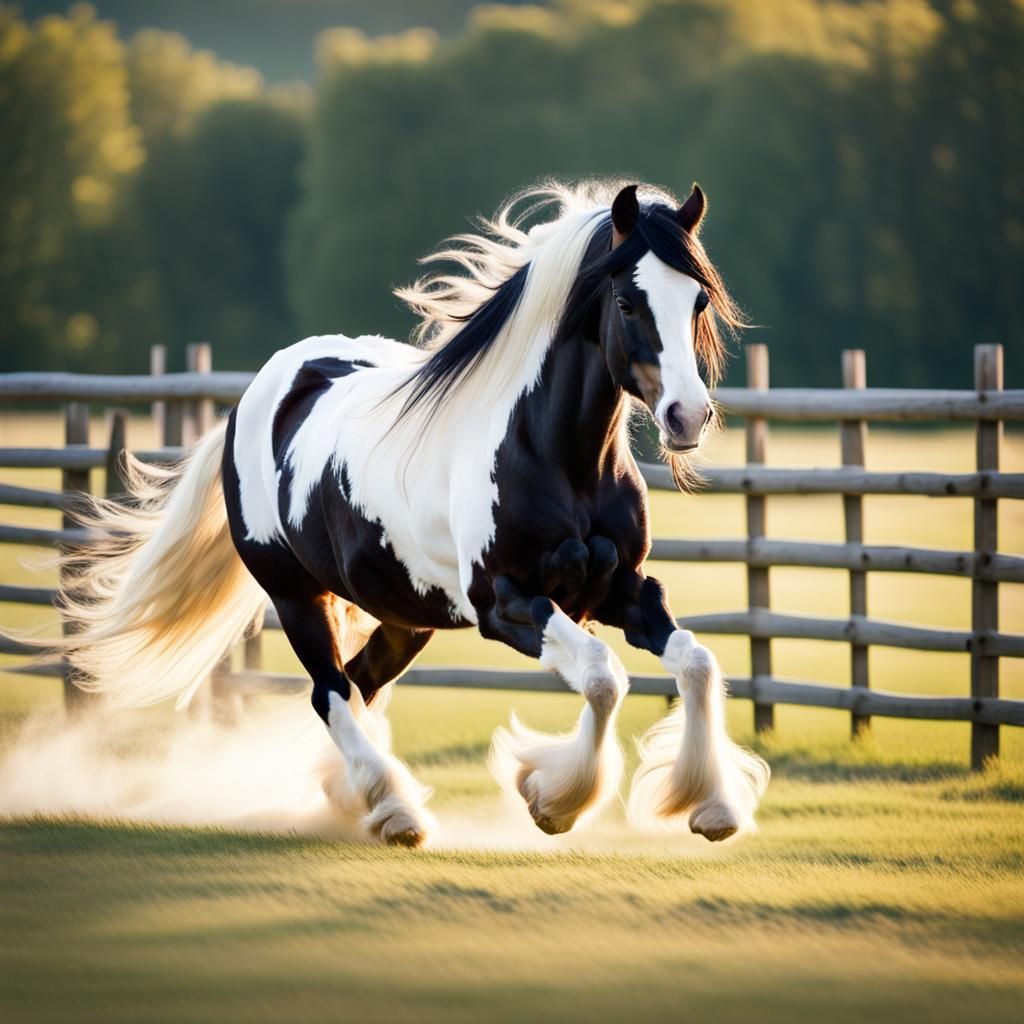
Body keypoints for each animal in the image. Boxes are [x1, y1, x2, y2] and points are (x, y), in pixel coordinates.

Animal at [54, 180, 769, 847]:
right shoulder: (505, 603)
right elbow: (600, 677)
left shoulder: (621, 587)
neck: (554, 454)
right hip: (295, 596)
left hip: (407, 615)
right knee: (330, 692)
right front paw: (551, 800)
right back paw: (395, 812)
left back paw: (345, 797)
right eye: (626, 301)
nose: (687, 416)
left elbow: (697, 664)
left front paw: (712, 807)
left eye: (698, 299)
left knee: (359, 682)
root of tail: (255, 396)